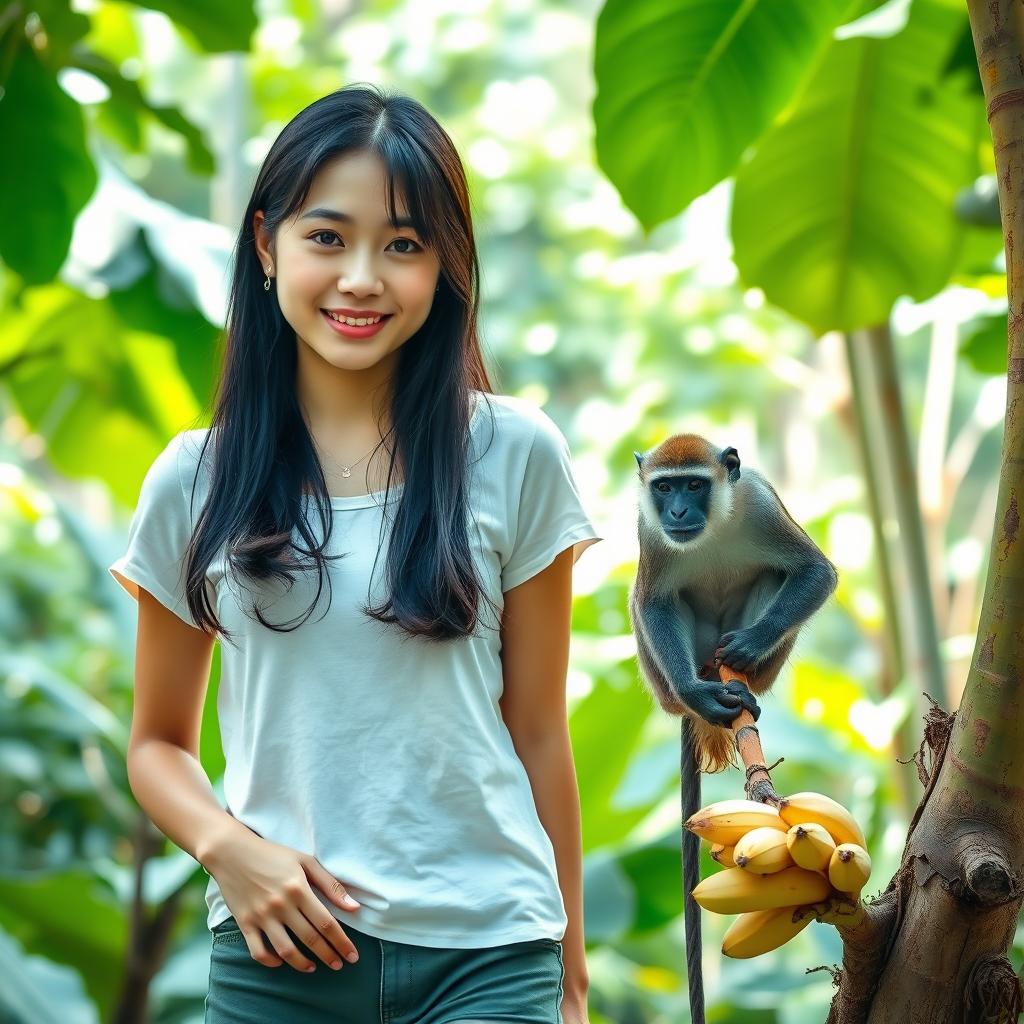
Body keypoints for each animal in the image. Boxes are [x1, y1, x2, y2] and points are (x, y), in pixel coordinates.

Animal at [626, 434, 835, 1024]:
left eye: (694, 485)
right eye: (664, 487)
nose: (677, 512)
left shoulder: (760, 505)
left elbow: (815, 572)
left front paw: (751, 641)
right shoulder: (648, 530)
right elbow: (652, 600)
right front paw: (697, 693)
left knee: (776, 577)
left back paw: (742, 679)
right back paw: (701, 693)